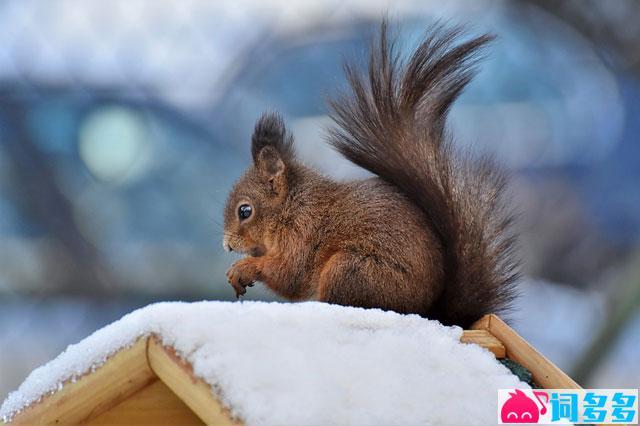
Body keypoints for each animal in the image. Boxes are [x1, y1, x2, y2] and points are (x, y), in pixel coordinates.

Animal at [222, 22, 516, 330]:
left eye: (245, 211)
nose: (227, 246)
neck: (292, 204)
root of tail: (433, 313)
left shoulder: (302, 231)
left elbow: (290, 274)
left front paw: (243, 268)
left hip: (350, 270)